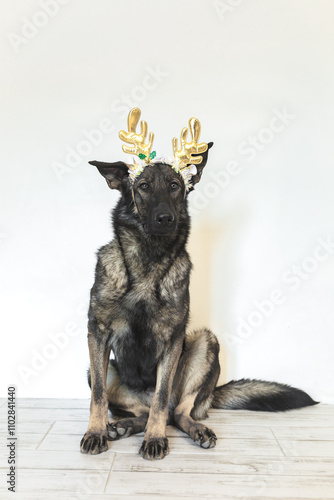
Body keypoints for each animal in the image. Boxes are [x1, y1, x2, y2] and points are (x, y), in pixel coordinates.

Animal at [79, 110, 318, 460]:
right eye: (144, 187)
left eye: (175, 186)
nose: (165, 218)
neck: (149, 262)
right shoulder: (96, 334)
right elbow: (98, 396)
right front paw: (96, 432)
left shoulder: (173, 340)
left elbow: (162, 398)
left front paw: (155, 439)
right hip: (106, 370)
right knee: (141, 411)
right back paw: (121, 426)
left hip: (206, 343)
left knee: (175, 411)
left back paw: (194, 429)